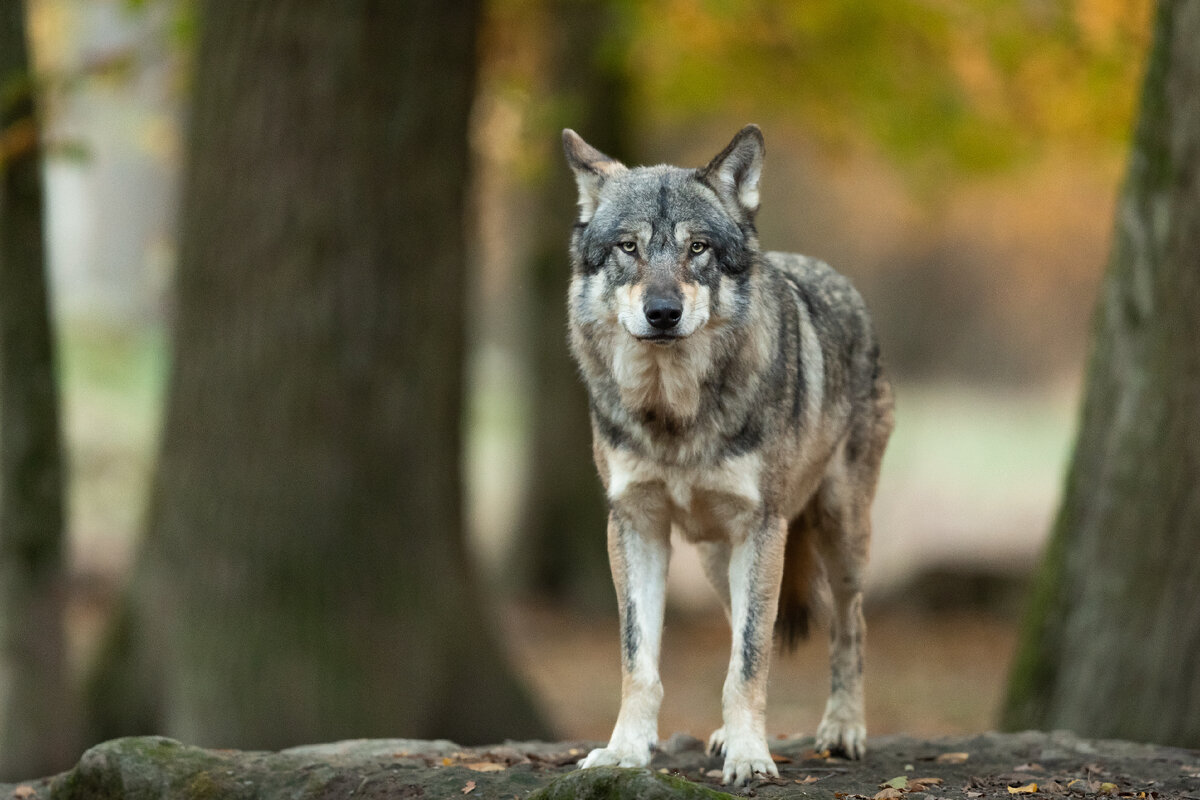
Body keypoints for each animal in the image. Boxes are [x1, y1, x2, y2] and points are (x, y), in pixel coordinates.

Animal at [561, 126, 892, 786]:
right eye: (629, 248)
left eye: (699, 248)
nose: (663, 313)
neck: (674, 415)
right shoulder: (634, 526)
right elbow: (639, 661)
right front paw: (625, 751)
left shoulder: (760, 528)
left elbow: (750, 660)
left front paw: (750, 757)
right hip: (718, 559)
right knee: (739, 619)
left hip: (839, 535)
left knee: (850, 624)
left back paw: (843, 729)